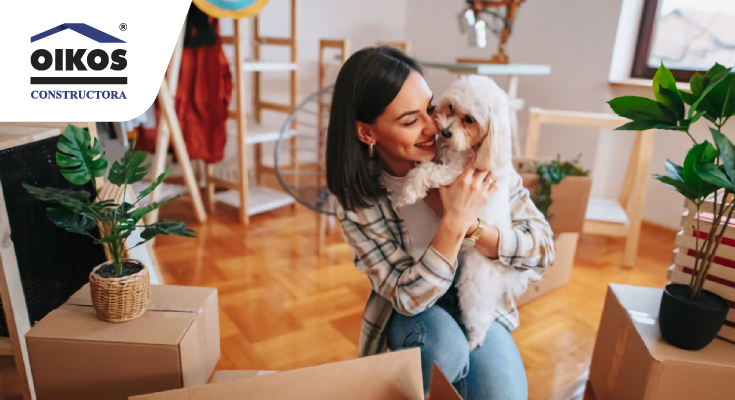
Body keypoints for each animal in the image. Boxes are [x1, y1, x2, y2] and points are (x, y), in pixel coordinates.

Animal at [396, 75, 528, 350]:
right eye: (450, 107)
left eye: (470, 120)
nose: (446, 132)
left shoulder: (455, 174)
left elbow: (426, 170)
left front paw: (409, 191)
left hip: (474, 285)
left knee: (481, 320)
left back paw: (471, 343)